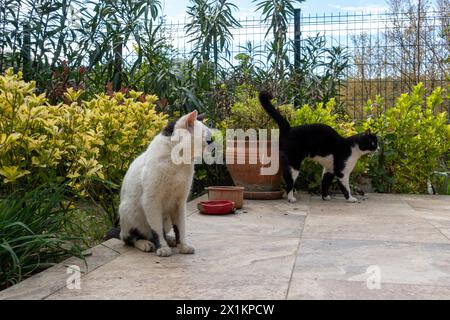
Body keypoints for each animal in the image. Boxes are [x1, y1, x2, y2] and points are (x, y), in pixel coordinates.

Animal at [107, 111, 211, 256]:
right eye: (208, 140)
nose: (213, 146)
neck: (178, 164)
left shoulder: (180, 202)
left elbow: (180, 226)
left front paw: (183, 245)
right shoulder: (151, 200)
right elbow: (156, 229)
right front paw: (162, 247)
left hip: (165, 219)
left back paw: (170, 240)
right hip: (129, 211)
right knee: (130, 238)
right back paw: (146, 243)